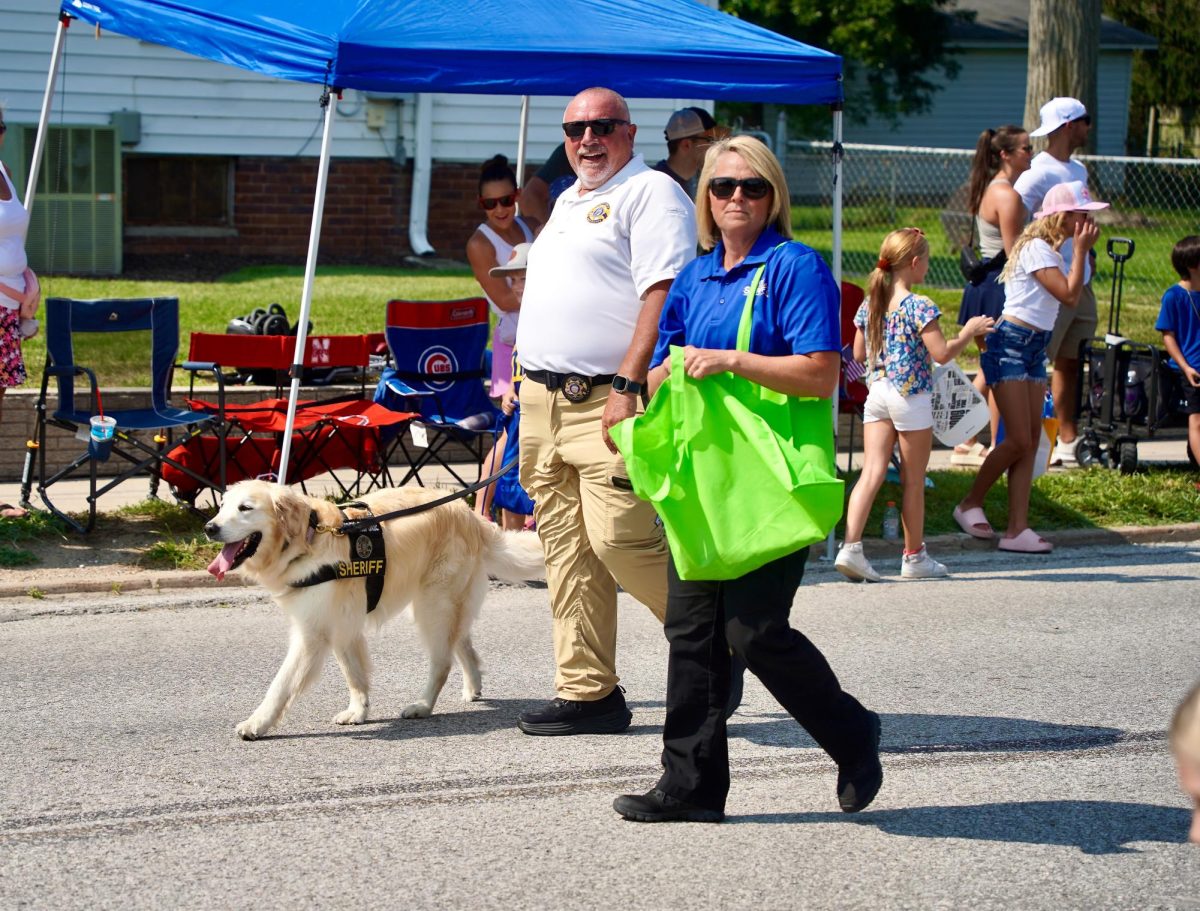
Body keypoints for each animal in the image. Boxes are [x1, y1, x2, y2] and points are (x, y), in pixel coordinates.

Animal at [205, 477, 544, 739]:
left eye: (245, 508)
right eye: (222, 506)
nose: (209, 527)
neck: (308, 539)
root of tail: (470, 515)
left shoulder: (313, 632)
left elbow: (280, 685)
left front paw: (256, 723)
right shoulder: (342, 624)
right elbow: (354, 674)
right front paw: (358, 711)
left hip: (432, 605)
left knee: (443, 661)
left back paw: (423, 706)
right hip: (447, 603)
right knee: (462, 643)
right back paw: (472, 688)